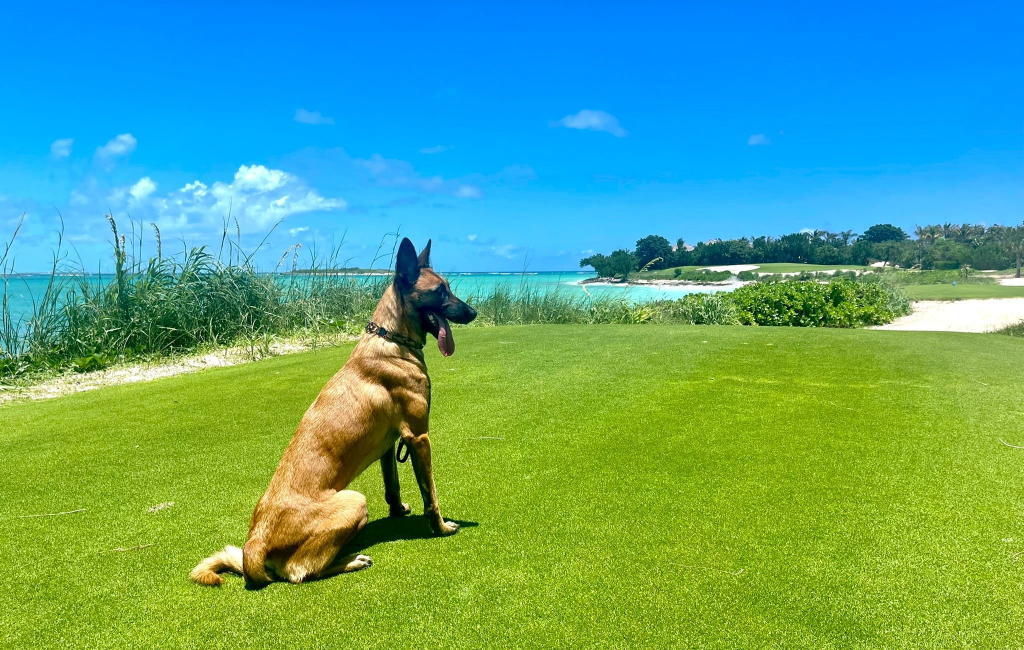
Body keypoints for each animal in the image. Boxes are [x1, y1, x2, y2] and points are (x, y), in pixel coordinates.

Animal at [190, 239, 477, 589]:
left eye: (449, 287)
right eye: (439, 291)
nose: (474, 313)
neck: (391, 340)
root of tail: (255, 543)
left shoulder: (390, 444)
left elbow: (392, 487)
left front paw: (398, 511)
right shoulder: (419, 437)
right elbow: (431, 495)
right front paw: (441, 527)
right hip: (354, 500)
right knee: (299, 571)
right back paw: (352, 559)